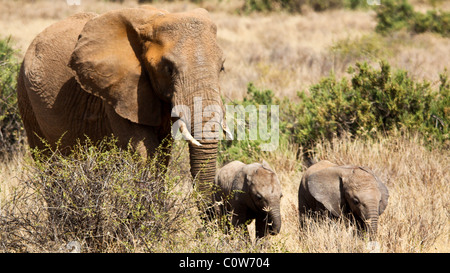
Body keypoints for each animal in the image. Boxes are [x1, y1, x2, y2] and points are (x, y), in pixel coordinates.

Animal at [17, 6, 229, 206]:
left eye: (222, 67)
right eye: (168, 69)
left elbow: (162, 153)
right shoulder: (117, 92)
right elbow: (145, 151)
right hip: (26, 96)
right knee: (48, 165)